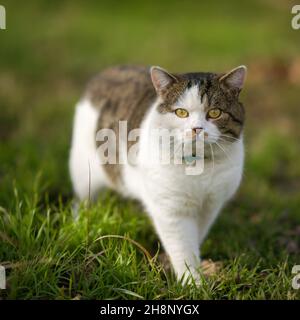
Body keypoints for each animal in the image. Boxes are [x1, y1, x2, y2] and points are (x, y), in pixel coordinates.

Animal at [69, 63, 246, 284]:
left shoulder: (211, 205)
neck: (198, 167)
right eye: (181, 112)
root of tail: (108, 70)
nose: (197, 129)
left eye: (214, 112)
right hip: (84, 172)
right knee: (82, 200)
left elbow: (196, 238)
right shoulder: (171, 210)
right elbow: (183, 249)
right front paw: (192, 283)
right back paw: (79, 222)